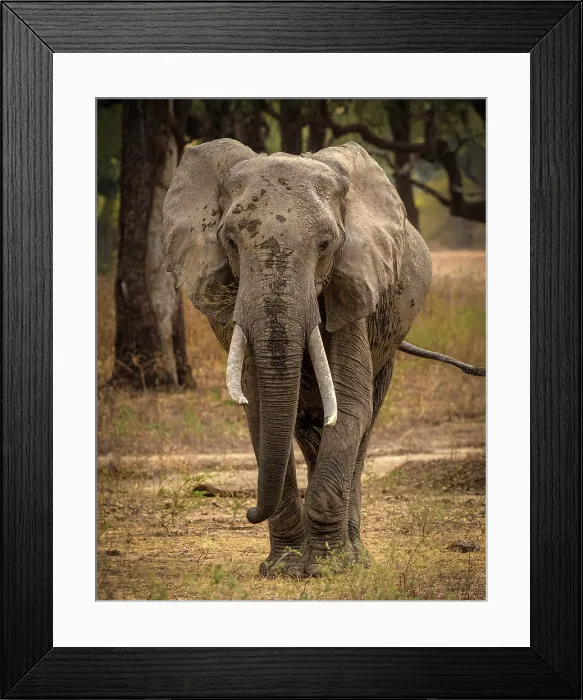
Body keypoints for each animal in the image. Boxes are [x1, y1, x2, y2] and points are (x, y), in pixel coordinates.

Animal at [161, 138, 485, 578]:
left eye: (326, 244)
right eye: (229, 241)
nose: (247, 511)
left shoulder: (354, 288)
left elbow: (349, 407)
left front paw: (329, 569)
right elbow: (261, 409)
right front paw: (284, 569)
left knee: (363, 427)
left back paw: (357, 557)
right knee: (306, 428)